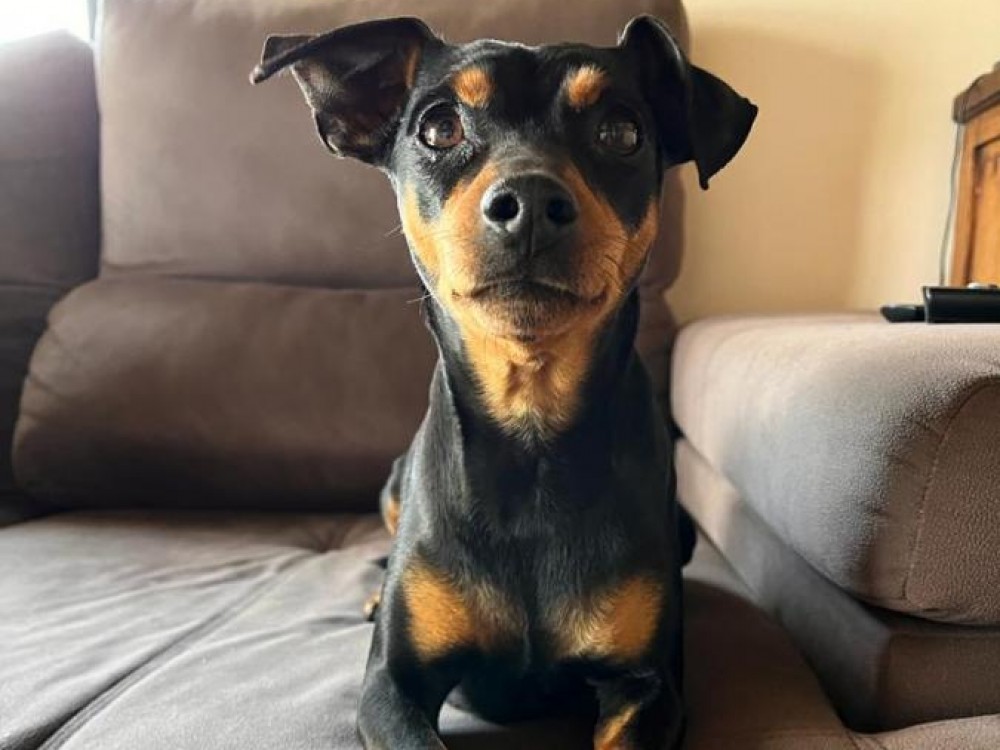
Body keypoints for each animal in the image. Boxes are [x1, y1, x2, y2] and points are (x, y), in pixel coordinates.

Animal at [252, 15, 755, 748]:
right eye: (438, 128)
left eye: (622, 132)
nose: (532, 202)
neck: (531, 430)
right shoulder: (390, 687)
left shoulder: (649, 689)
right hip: (393, 485)